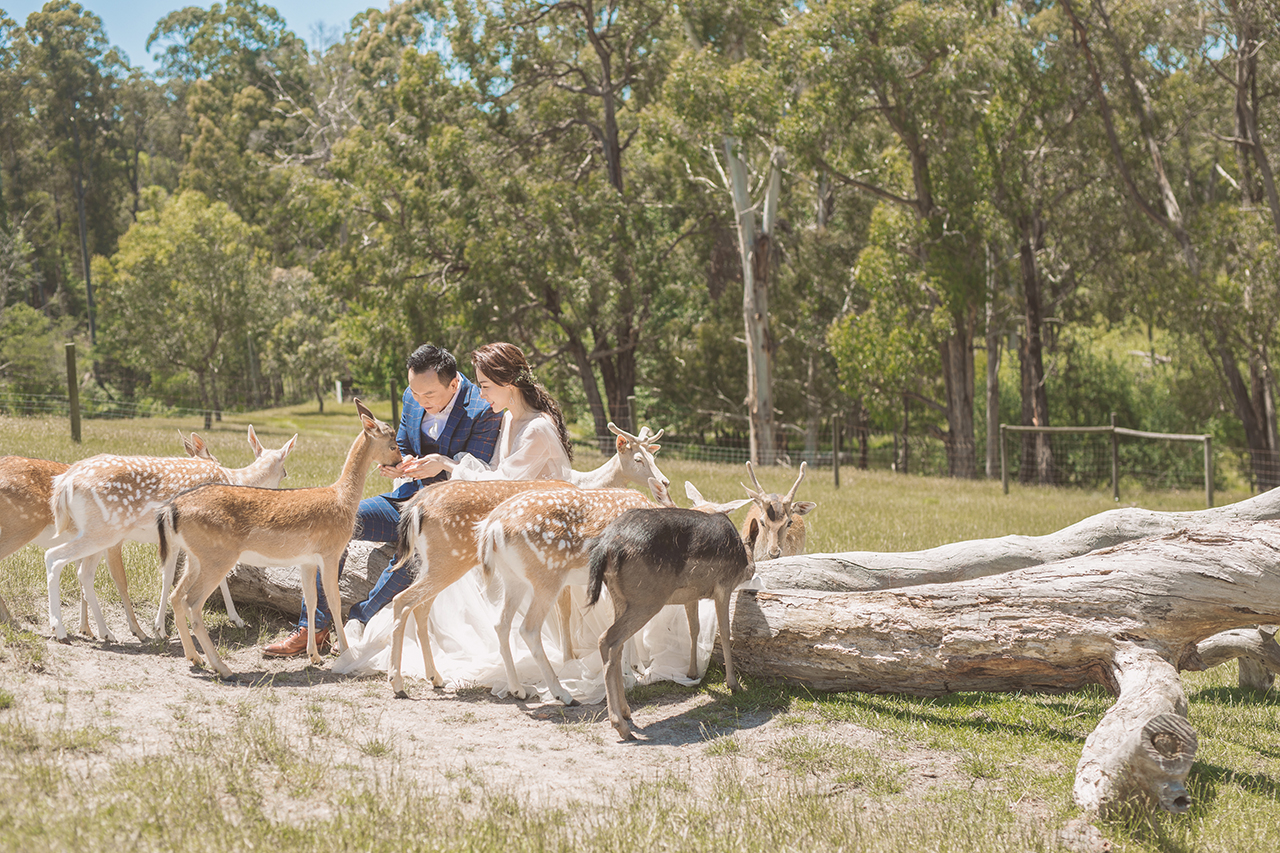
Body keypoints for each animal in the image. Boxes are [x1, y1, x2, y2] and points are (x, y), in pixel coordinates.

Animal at [43, 425, 297, 641]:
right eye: (285, 472)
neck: (235, 479)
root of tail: (64, 483)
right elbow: (195, 577)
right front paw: (165, 628)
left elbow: (171, 576)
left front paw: (162, 626)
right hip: (103, 530)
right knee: (54, 557)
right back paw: (60, 630)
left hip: (94, 531)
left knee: (84, 573)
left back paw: (104, 632)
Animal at [158, 400, 401, 678]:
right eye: (393, 443)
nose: (399, 460)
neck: (343, 500)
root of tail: (172, 508)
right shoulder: (331, 551)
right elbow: (334, 600)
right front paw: (345, 654)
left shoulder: (307, 560)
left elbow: (311, 599)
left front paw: (314, 656)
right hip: (217, 557)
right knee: (193, 603)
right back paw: (222, 667)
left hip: (194, 557)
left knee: (177, 596)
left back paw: (195, 658)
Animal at [476, 479, 750, 706]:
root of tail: (491, 527)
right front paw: (631, 673)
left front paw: (638, 668)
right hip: (547, 575)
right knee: (528, 628)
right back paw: (563, 694)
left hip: (513, 579)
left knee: (501, 624)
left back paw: (517, 689)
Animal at [587, 505, 760, 740]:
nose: (753, 570)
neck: (741, 556)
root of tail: (605, 546)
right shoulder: (723, 586)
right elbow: (724, 632)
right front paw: (734, 685)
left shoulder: (691, 595)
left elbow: (694, 628)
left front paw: (692, 673)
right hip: (648, 599)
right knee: (606, 639)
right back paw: (621, 726)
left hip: (620, 598)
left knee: (617, 646)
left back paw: (626, 712)